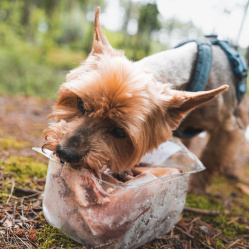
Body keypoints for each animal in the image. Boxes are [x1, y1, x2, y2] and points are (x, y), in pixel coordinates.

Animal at [41, 7, 238, 194]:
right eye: (80, 103)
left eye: (120, 132)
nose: (66, 153)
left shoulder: (226, 128)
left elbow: (212, 156)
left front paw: (196, 187)